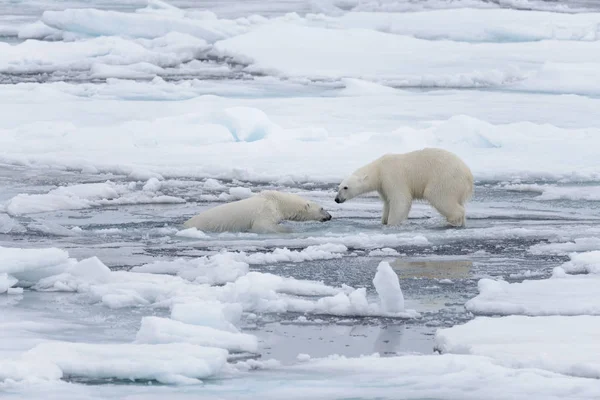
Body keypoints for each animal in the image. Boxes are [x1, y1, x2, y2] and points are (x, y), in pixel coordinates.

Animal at [184, 190, 332, 233]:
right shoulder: (266, 210)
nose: (330, 216)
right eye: (322, 208)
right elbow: (262, 226)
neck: (278, 201)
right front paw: (288, 229)